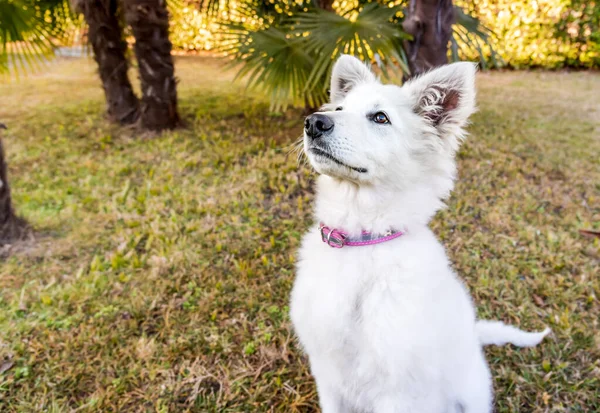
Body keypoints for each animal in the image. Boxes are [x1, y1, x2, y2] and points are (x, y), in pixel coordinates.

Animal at [288, 55, 552, 412]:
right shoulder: (327, 375)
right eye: (339, 108)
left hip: (472, 392)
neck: (362, 241)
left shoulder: (397, 391)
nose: (314, 122)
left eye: (380, 117)